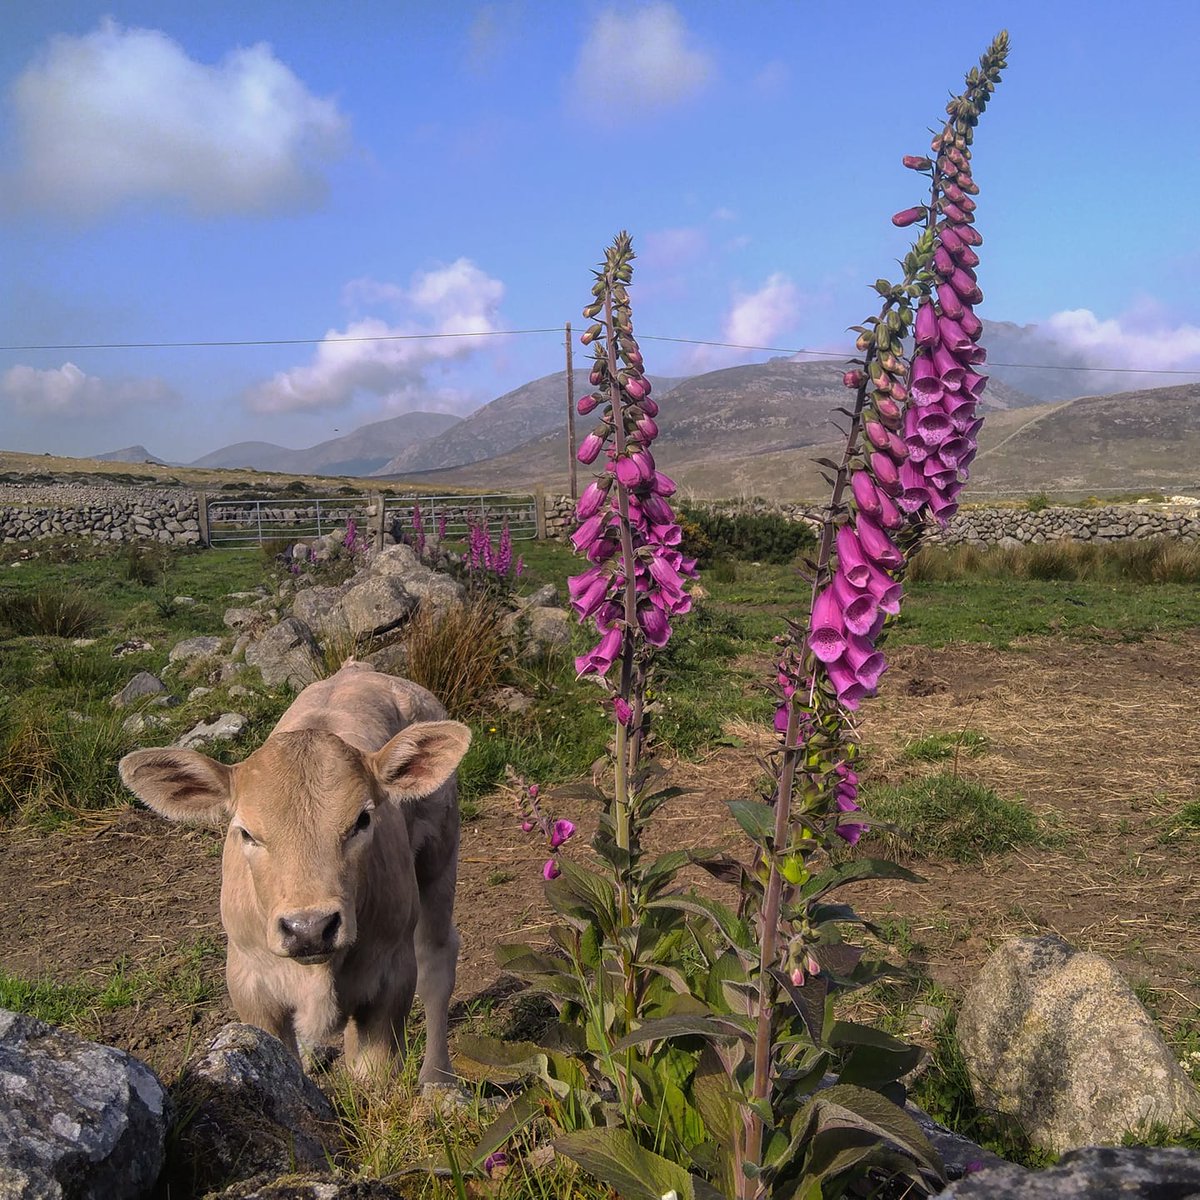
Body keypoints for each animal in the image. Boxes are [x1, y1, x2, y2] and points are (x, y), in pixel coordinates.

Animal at [119, 662, 471, 1086]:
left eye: (363, 819)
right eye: (246, 832)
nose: (310, 928)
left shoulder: (392, 981)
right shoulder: (250, 987)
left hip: (440, 853)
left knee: (436, 959)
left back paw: (438, 1079)